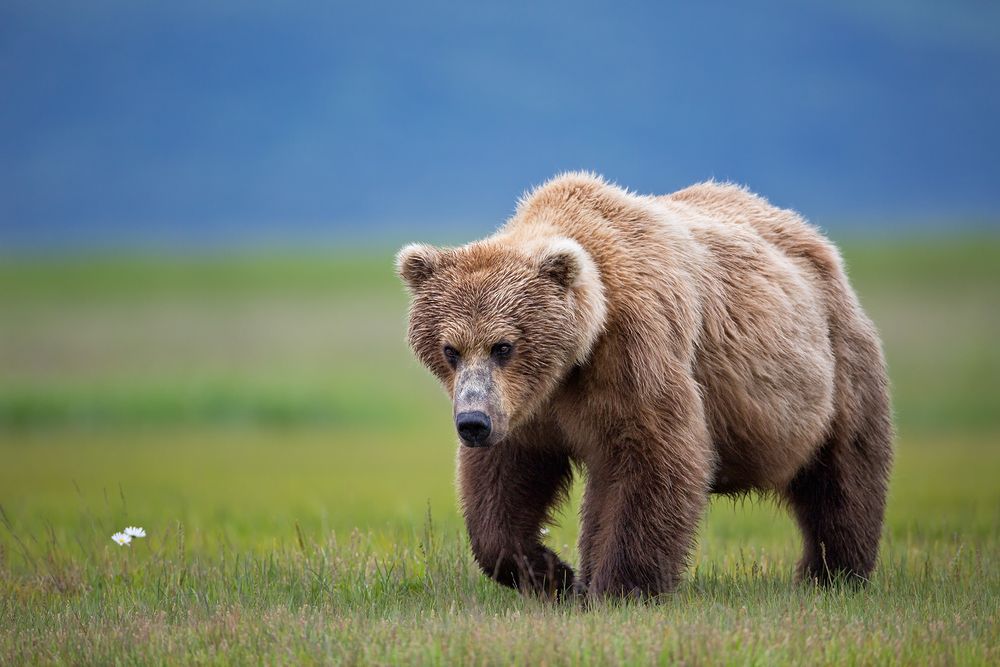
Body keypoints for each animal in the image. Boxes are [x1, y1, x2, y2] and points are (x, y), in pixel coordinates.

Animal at [396, 172, 893, 599]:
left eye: (503, 345)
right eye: (450, 349)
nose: (472, 423)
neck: (573, 358)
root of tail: (810, 234)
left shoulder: (634, 349)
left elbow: (653, 454)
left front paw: (618, 588)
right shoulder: (529, 406)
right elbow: (504, 483)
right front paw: (552, 574)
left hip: (833, 367)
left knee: (843, 472)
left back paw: (832, 573)